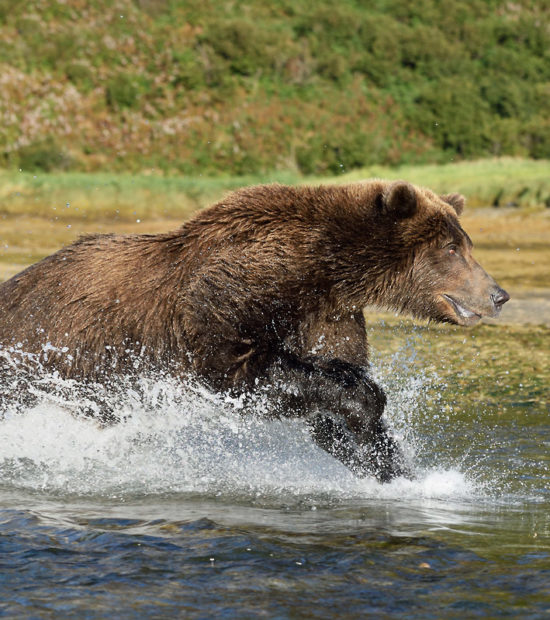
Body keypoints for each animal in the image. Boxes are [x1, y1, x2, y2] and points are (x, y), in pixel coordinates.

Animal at [0, 182, 508, 482]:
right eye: (452, 247)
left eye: (465, 243)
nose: (498, 294)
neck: (319, 270)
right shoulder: (231, 292)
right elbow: (241, 368)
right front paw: (367, 408)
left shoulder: (327, 316)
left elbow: (329, 400)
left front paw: (394, 466)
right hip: (46, 354)